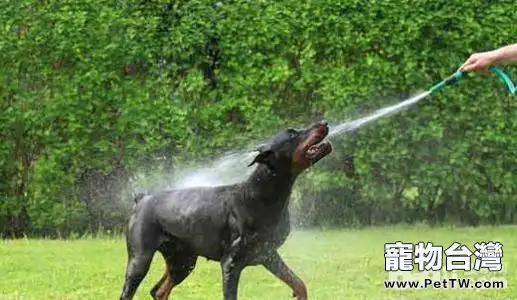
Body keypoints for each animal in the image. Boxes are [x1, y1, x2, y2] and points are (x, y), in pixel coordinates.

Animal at [119, 120, 332, 300]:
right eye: (293, 133)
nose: (324, 122)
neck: (260, 196)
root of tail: (142, 198)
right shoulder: (230, 264)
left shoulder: (267, 254)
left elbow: (298, 283)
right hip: (140, 260)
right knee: (129, 292)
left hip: (183, 261)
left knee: (158, 291)